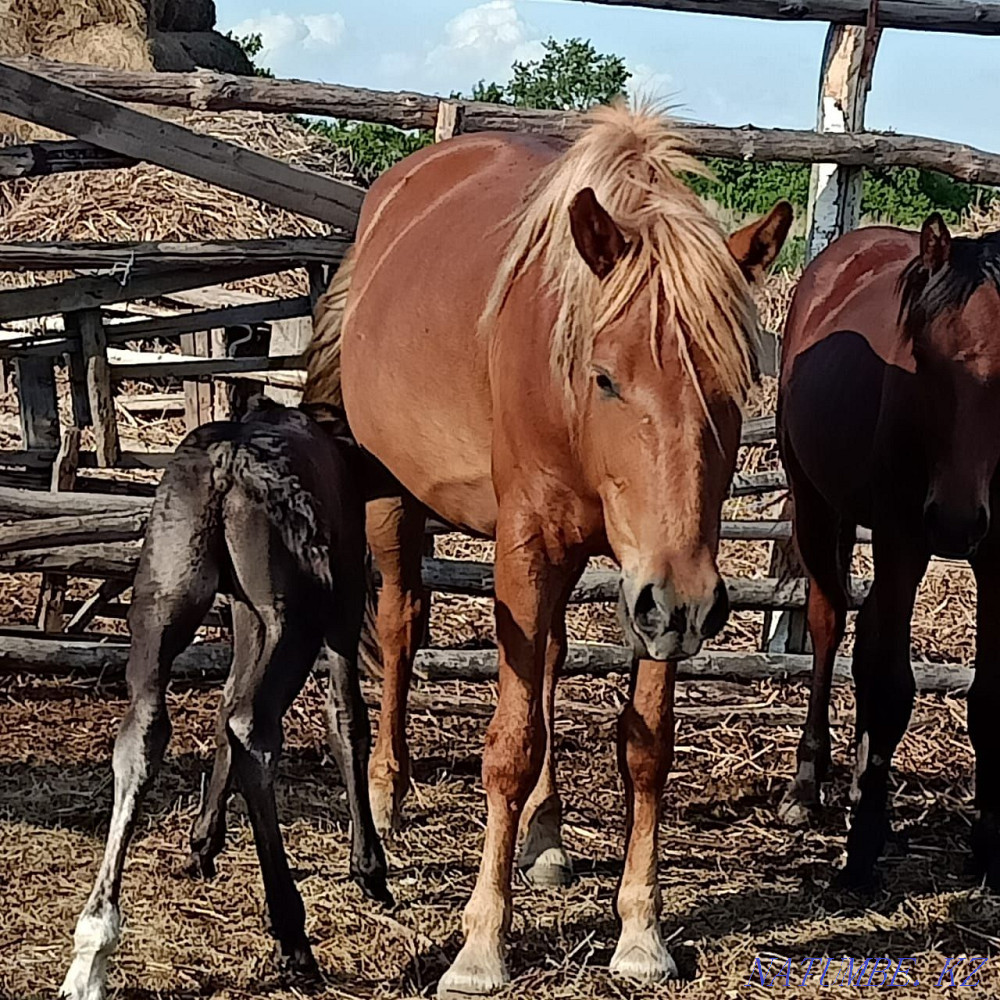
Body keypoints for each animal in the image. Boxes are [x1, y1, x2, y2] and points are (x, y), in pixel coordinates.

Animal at [60, 400, 390, 1000]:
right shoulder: (343, 606)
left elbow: (221, 706)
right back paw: (292, 935)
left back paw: (92, 950)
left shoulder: (240, 606)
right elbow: (347, 721)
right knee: (254, 726)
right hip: (295, 617)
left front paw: (203, 840)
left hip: (164, 599)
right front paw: (370, 869)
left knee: (146, 734)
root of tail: (223, 468)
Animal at [303, 102, 791, 994]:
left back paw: (547, 833)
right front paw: (479, 946)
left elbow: (646, 745)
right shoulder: (532, 548)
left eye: (734, 385)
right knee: (399, 627)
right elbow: (510, 744)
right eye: (606, 376)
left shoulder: (657, 580)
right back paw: (386, 796)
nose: (688, 604)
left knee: (552, 663)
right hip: (394, 501)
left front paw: (640, 932)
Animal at [777, 215, 1000, 889]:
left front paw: (988, 846)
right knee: (830, 625)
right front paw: (862, 851)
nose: (955, 520)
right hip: (818, 505)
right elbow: (894, 684)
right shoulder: (903, 540)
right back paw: (809, 784)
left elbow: (986, 695)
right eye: (921, 356)